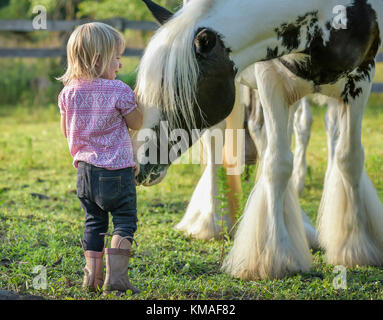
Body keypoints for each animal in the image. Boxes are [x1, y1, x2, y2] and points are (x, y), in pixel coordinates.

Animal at [134, 0, 383, 280]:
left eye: (174, 91)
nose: (139, 167)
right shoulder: (271, 78)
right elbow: (278, 166)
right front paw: (275, 256)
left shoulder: (362, 78)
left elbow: (349, 158)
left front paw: (358, 247)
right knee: (219, 144)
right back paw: (213, 220)